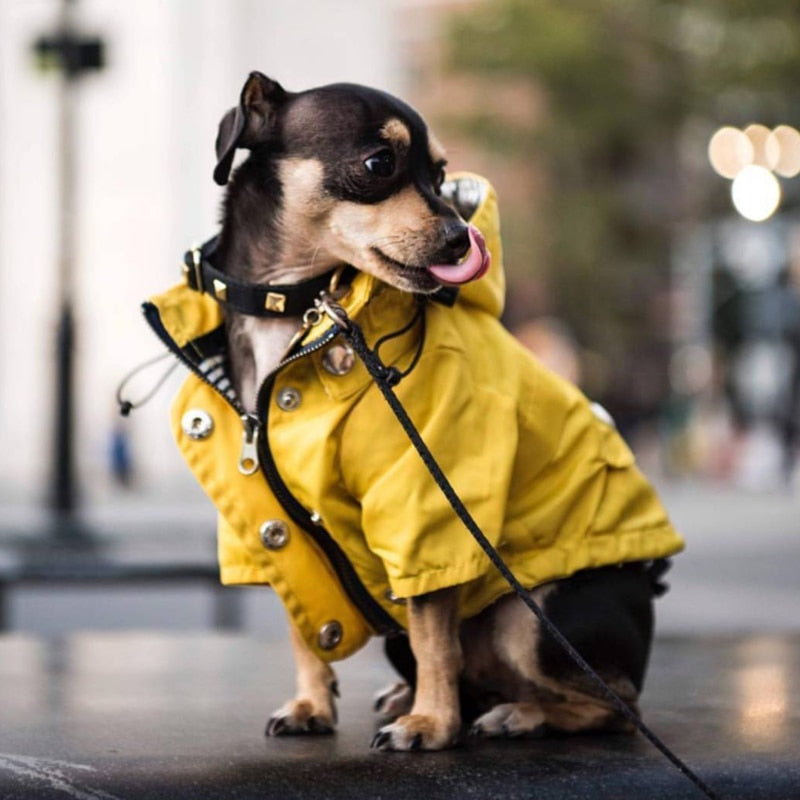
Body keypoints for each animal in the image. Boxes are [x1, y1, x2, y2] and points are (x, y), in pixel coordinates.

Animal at [148, 73, 680, 752]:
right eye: (380, 164)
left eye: (442, 173)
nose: (460, 238)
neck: (299, 308)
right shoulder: (283, 528)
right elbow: (305, 626)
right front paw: (310, 705)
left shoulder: (423, 509)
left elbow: (434, 636)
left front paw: (430, 724)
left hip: (529, 617)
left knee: (614, 703)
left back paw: (517, 714)